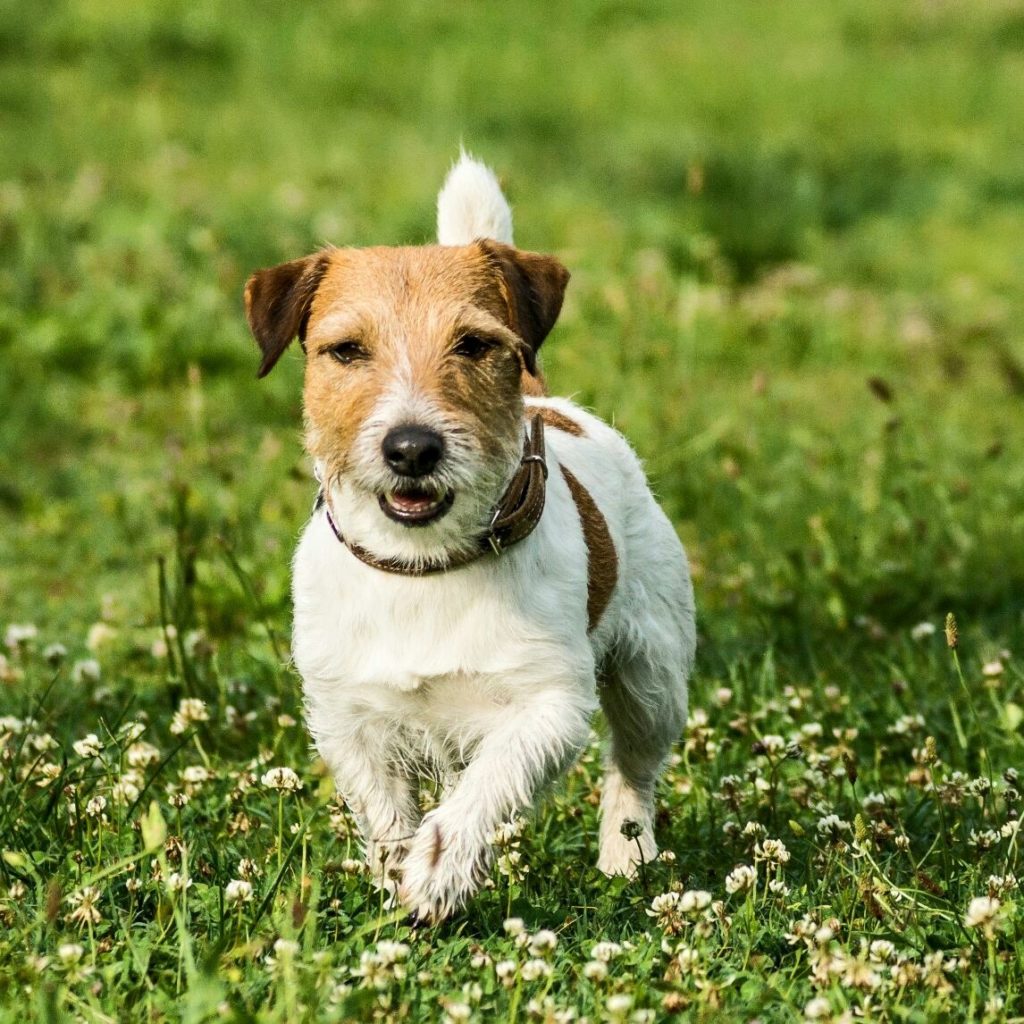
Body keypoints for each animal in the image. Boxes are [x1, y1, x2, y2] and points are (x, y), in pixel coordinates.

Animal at [243, 153, 700, 921]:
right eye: (346, 350)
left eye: (476, 344)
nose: (411, 448)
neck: (426, 566)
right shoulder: (347, 716)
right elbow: (386, 813)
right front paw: (397, 876)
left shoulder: (549, 702)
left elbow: (488, 783)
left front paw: (440, 869)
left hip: (653, 674)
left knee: (633, 768)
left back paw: (626, 855)